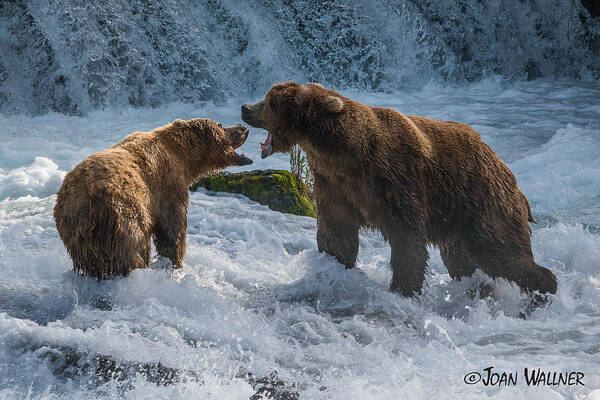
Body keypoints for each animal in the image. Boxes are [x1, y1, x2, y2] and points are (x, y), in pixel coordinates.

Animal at [55, 119, 252, 280]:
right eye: (221, 125)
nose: (243, 127)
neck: (183, 158)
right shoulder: (168, 188)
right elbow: (172, 230)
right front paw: (175, 265)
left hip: (75, 232)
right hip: (125, 213)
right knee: (135, 248)